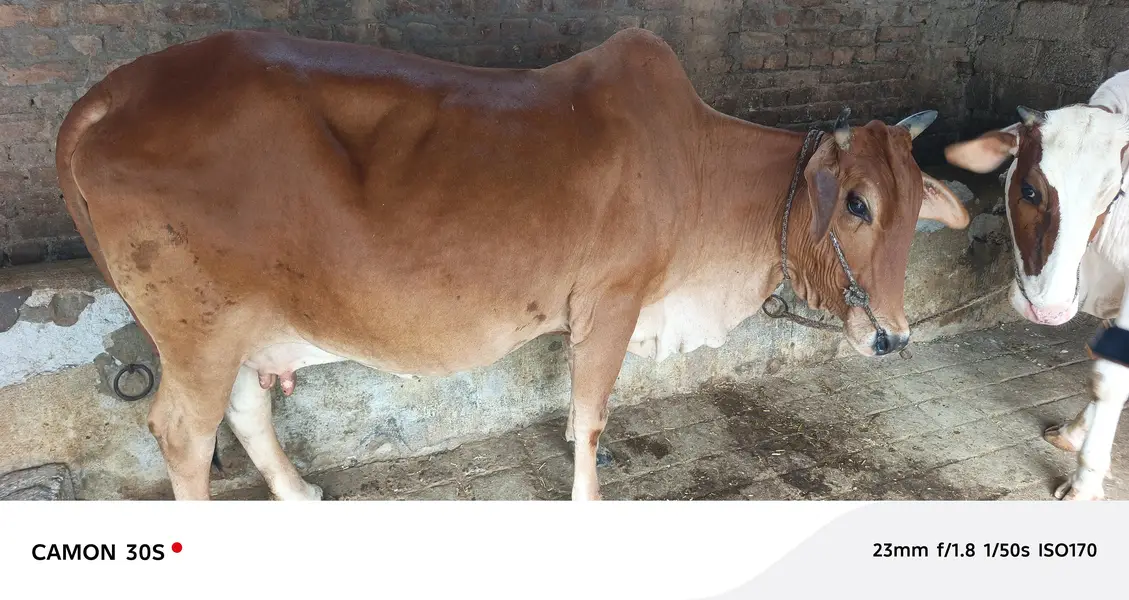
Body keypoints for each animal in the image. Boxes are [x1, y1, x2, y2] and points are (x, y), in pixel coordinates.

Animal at [55, 27, 969, 501]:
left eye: (913, 200)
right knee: (183, 434)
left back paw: (303, 493)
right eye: (855, 203)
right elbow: (592, 415)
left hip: (236, 326)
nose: (891, 337)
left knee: (244, 412)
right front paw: (590, 502)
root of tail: (105, 94)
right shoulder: (611, 301)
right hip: (198, 329)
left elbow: (576, 414)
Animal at [945, 69, 1129, 500]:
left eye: (1113, 197)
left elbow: (1112, 380)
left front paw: (1085, 482)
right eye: (1029, 190)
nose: (1049, 310)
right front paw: (1074, 433)